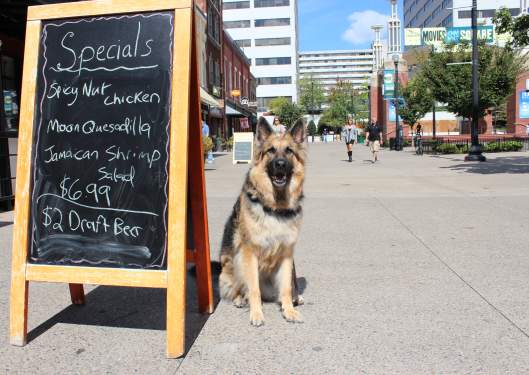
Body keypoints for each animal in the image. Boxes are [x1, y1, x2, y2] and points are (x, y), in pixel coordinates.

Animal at [218, 117, 304, 326]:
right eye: (271, 150)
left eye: (289, 151)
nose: (280, 164)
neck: (276, 207)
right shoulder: (249, 253)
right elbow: (253, 288)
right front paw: (256, 314)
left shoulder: (287, 254)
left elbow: (286, 287)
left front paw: (289, 310)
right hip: (232, 261)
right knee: (239, 288)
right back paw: (240, 299)